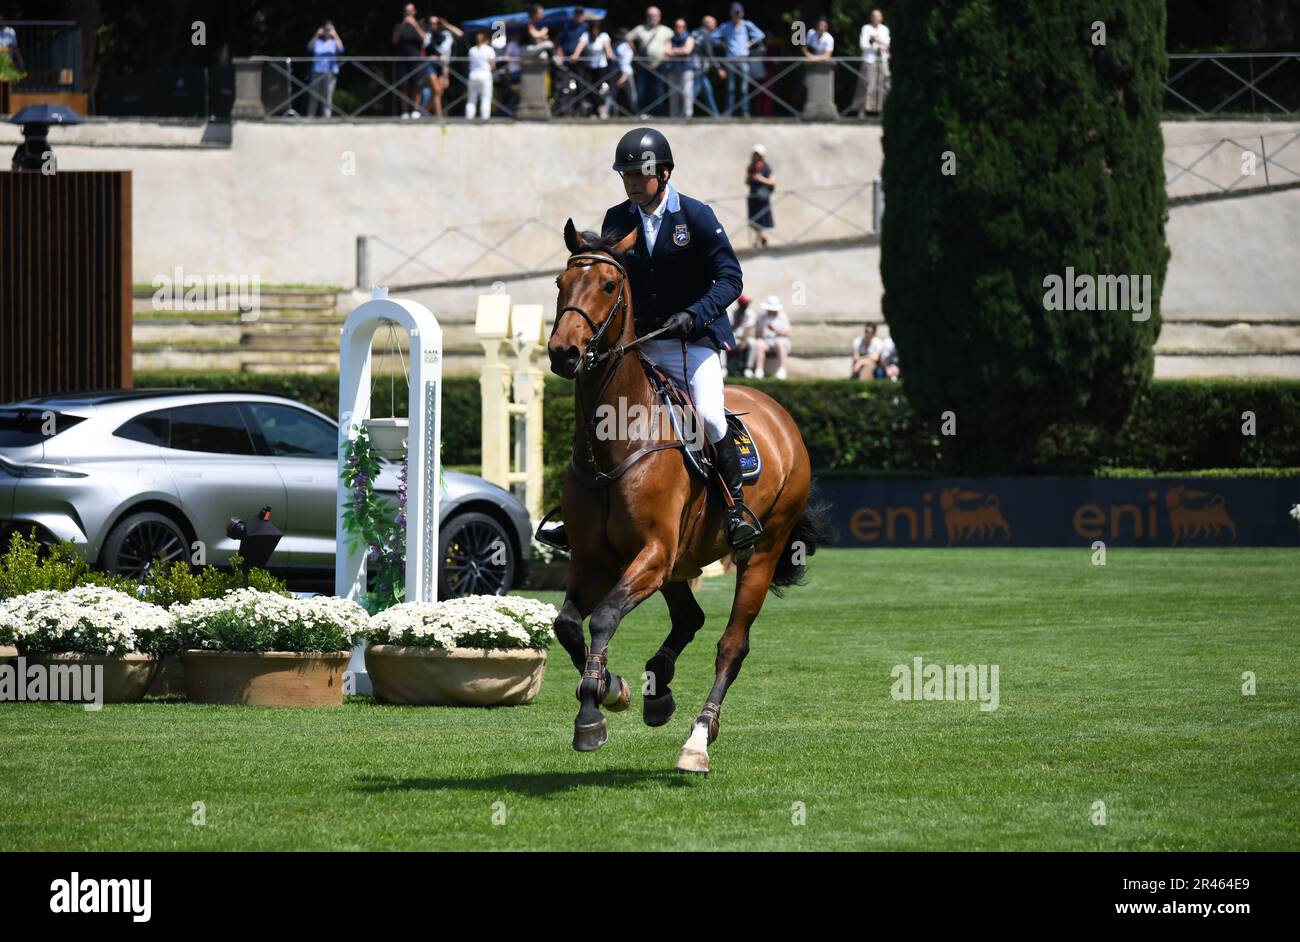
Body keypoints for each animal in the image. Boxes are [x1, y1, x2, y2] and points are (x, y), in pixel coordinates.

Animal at [546, 220, 832, 769]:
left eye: (609, 286)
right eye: (559, 284)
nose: (563, 352)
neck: (615, 439)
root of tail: (780, 414)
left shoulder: (653, 553)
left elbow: (605, 616)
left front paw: (593, 712)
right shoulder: (596, 559)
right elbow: (567, 624)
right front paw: (611, 688)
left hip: (757, 552)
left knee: (731, 644)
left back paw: (698, 738)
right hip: (681, 562)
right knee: (690, 618)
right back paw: (658, 691)